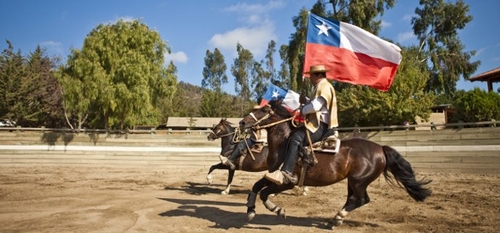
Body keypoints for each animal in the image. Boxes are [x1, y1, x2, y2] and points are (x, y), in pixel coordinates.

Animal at [237, 99, 430, 228]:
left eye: (264, 110)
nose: (242, 122)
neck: (284, 144)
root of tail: (380, 148)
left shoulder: (287, 182)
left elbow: (264, 193)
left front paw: (278, 210)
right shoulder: (272, 174)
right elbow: (256, 186)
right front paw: (250, 210)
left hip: (359, 181)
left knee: (362, 199)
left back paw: (337, 218)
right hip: (353, 181)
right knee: (353, 199)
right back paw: (336, 219)